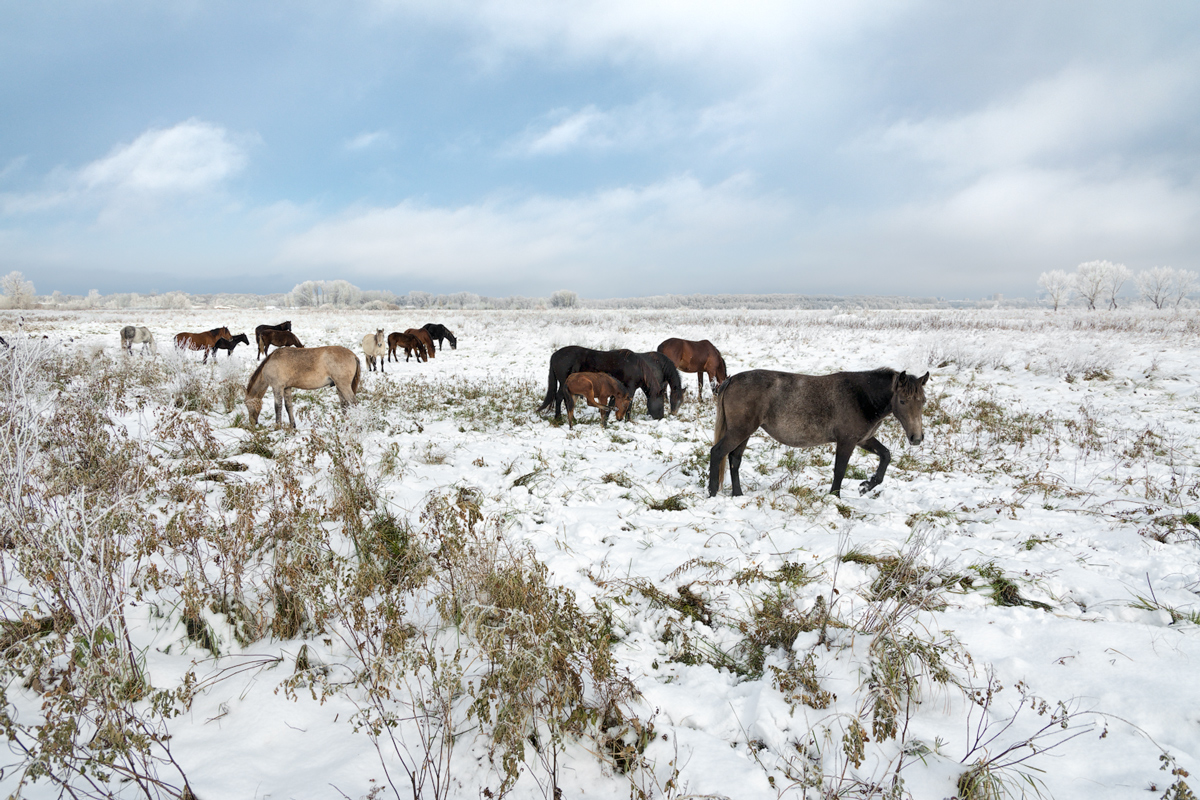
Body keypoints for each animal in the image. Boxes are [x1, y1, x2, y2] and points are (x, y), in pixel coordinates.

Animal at [542, 345, 672, 422]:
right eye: (661, 403)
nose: (661, 418)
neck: (636, 367)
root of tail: (554, 355)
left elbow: (613, 402)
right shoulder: (630, 389)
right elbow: (628, 405)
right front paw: (627, 420)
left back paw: (572, 418)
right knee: (559, 398)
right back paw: (558, 418)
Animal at [705, 367, 931, 494]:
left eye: (923, 401)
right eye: (903, 401)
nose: (916, 438)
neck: (861, 396)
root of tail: (731, 379)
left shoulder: (863, 440)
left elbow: (885, 455)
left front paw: (868, 485)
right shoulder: (847, 441)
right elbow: (840, 470)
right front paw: (834, 497)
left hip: (744, 432)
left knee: (734, 460)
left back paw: (738, 494)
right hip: (740, 431)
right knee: (717, 452)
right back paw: (713, 492)